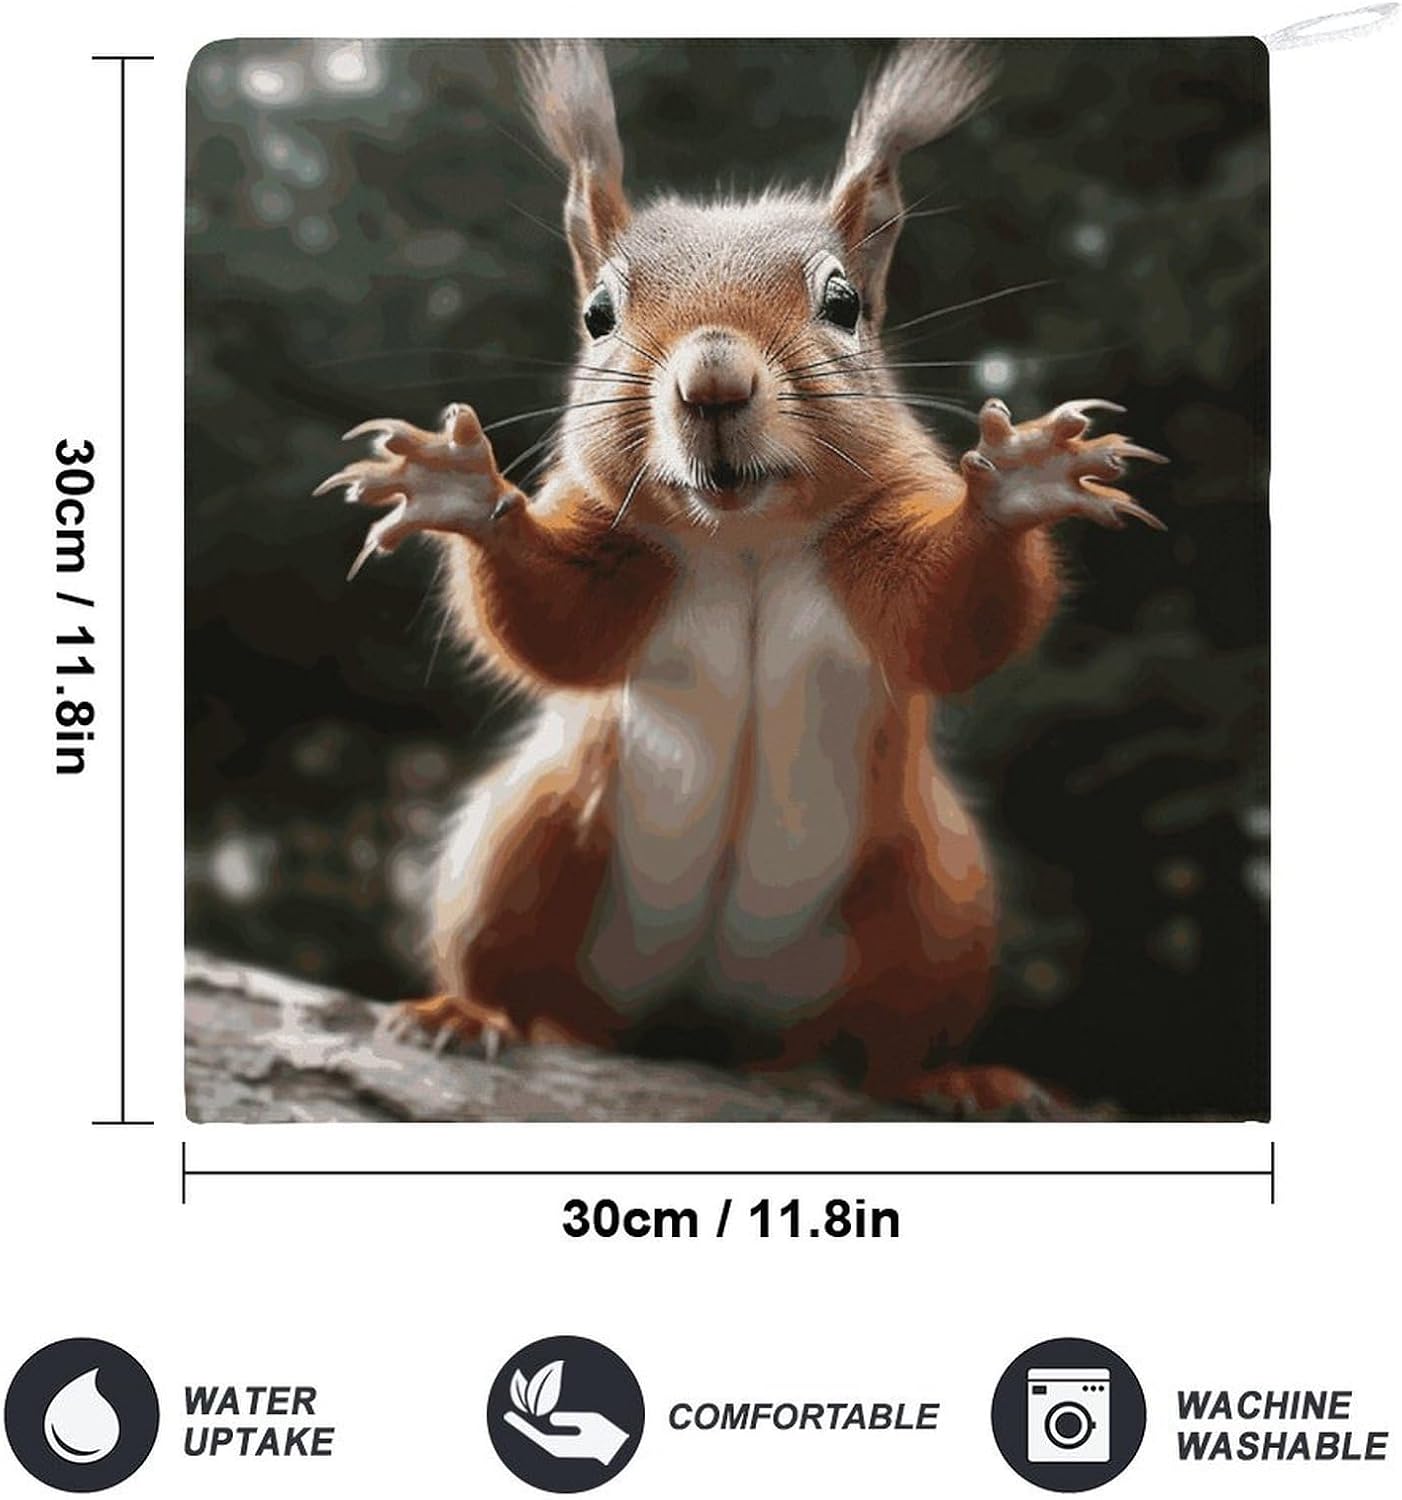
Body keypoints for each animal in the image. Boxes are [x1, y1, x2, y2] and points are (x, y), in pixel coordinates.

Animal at [315, 40, 1165, 1115]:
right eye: (597, 315)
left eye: (844, 305)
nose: (712, 381)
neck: (745, 540)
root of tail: (710, 1020)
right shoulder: (617, 560)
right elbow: (553, 626)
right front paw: (465, 489)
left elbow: (949, 623)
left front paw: (1015, 484)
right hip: (522, 846)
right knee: (517, 980)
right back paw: (463, 1016)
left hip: (936, 909)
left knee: (888, 1044)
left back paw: (954, 1077)